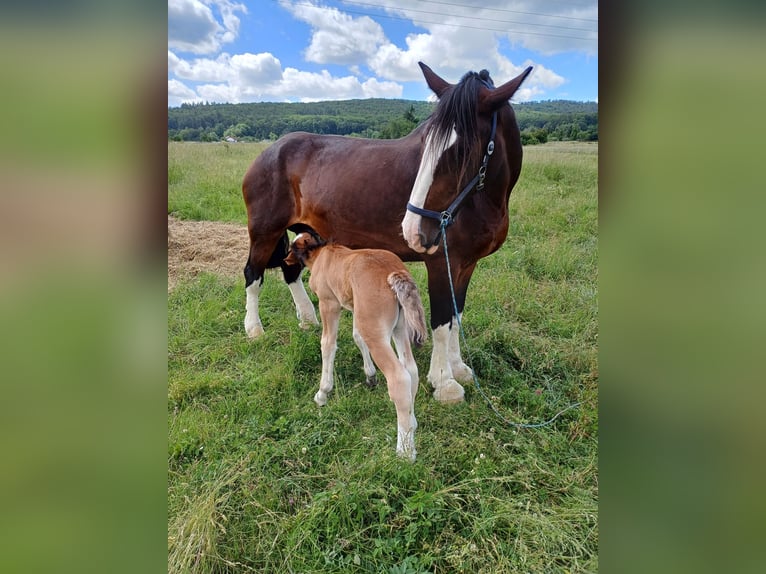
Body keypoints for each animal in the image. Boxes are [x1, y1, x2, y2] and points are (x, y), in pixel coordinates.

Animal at [243, 60, 532, 404]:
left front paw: (459, 367)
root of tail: (270, 150)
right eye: (424, 143)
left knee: (290, 270)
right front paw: (443, 381)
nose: (413, 229)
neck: (481, 200)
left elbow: (456, 315)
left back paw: (308, 319)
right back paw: (254, 329)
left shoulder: (466, 264)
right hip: (265, 232)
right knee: (253, 274)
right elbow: (442, 321)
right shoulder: (441, 262)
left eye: (461, 150)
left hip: (300, 232)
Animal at [284, 232, 428, 462]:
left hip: (375, 332)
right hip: (399, 326)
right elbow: (356, 336)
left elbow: (328, 343)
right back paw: (411, 425)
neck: (322, 254)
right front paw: (370, 376)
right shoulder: (353, 306)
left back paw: (405, 451)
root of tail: (393, 272)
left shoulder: (329, 303)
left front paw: (322, 393)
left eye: (293, 247)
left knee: (399, 378)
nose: (285, 260)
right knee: (411, 370)